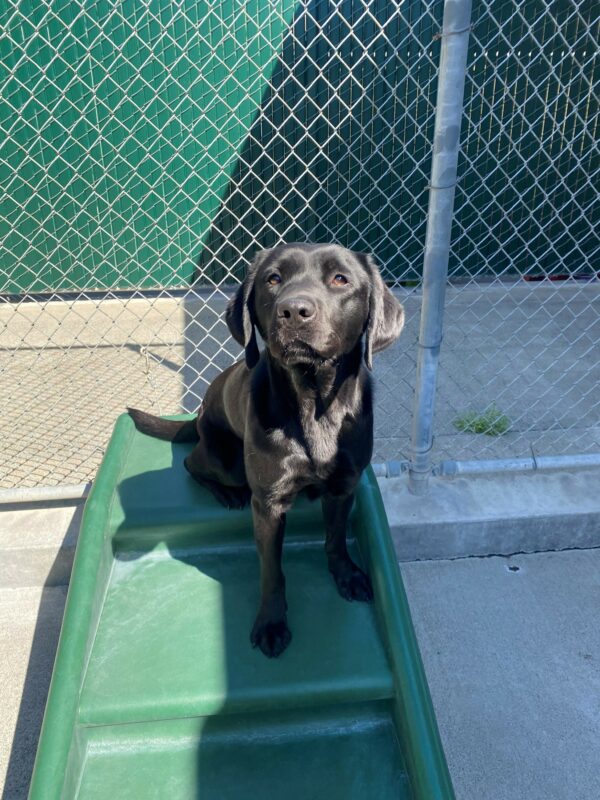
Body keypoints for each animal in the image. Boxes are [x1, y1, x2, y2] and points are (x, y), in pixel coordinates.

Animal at [129, 242, 406, 656]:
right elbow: (271, 571)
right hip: (226, 460)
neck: (313, 404)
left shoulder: (344, 485)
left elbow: (336, 538)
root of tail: (198, 414)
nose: (293, 310)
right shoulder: (269, 504)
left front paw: (346, 574)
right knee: (192, 463)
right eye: (273, 279)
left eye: (340, 279)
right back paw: (226, 493)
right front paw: (272, 622)